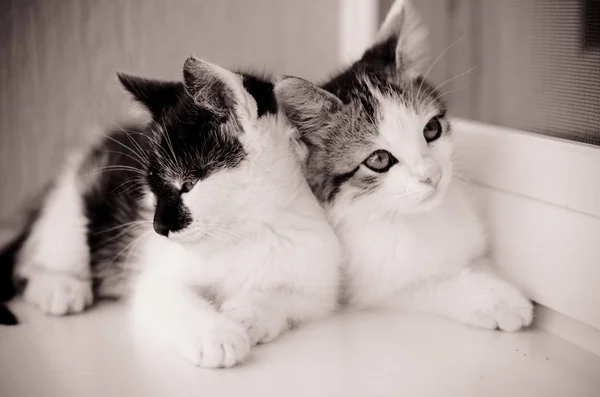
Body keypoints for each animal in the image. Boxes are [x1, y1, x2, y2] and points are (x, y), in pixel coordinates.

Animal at [0, 57, 340, 366]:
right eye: (152, 189)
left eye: (186, 185)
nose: (158, 227)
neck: (243, 231)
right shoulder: (155, 279)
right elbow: (172, 298)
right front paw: (217, 335)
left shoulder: (319, 274)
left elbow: (298, 296)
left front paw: (248, 313)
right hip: (75, 207)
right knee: (30, 260)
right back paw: (59, 287)